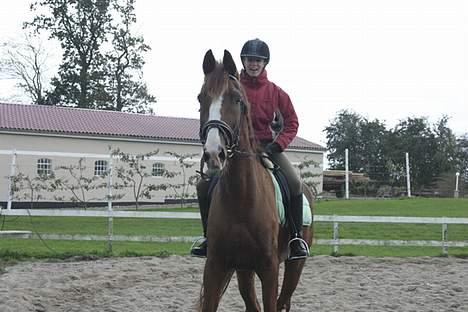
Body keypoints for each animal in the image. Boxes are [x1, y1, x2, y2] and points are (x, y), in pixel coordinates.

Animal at [196, 50, 312, 310]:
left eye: (237, 99)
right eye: (200, 98)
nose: (213, 154)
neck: (241, 196)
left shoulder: (269, 270)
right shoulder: (215, 266)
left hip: (294, 266)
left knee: (282, 299)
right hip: (244, 269)